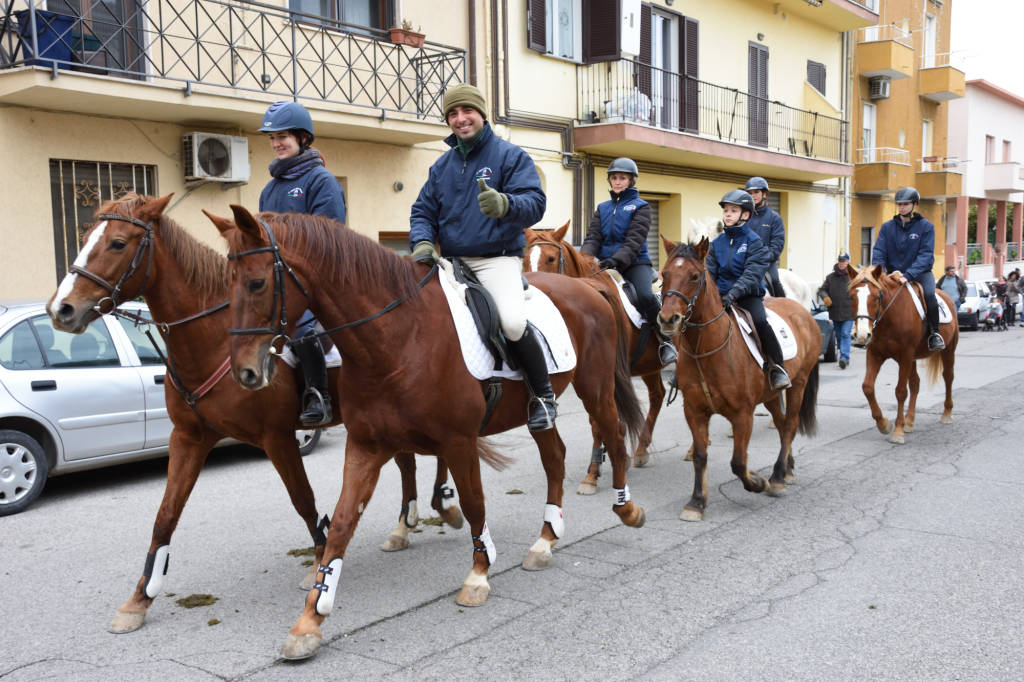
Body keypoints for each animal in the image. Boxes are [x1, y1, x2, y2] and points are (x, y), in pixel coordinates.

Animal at [210, 202, 643, 659]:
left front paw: (478, 574)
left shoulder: (459, 441)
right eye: (228, 283)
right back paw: (545, 541)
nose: (245, 372)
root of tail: (586, 287)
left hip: (595, 389)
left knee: (614, 437)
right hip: (540, 410)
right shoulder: (366, 444)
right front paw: (310, 618)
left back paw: (626, 508)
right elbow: (342, 524)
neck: (399, 335)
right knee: (555, 457)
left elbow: (473, 503)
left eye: (257, 282)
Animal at [524, 225, 667, 491]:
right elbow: (596, 420)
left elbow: (601, 419)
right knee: (658, 395)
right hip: (650, 366)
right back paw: (642, 449)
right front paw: (598, 466)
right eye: (525, 258)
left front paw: (596, 470)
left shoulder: (605, 375)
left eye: (551, 259)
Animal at [655, 236, 823, 518]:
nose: (668, 319)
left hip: (798, 384)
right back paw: (787, 469)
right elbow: (700, 455)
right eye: (664, 275)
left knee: (790, 424)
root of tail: (803, 311)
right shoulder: (694, 411)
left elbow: (738, 462)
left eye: (694, 276)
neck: (706, 348)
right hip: (770, 395)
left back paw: (776, 477)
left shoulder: (743, 414)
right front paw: (696, 502)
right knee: (781, 425)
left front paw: (757, 482)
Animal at [843, 262, 954, 444]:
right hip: (913, 358)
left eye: (876, 297)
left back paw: (947, 413)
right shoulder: (875, 353)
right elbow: (867, 387)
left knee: (948, 377)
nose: (862, 335)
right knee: (915, 383)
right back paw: (909, 420)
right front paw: (883, 424)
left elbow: (901, 391)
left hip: (948, 349)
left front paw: (898, 431)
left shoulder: (905, 355)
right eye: (852, 297)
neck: (889, 317)